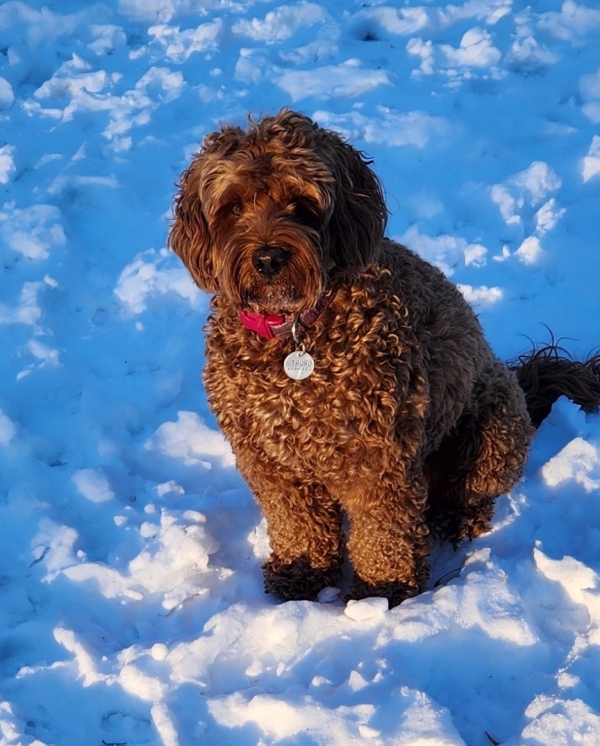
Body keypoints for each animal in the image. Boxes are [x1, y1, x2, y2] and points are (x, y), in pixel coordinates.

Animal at [169, 106, 600, 604]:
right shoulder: (270, 460)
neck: (295, 330)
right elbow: (297, 521)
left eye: (301, 202)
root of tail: (524, 390)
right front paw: (301, 571)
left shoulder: (377, 455)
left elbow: (384, 529)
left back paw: (455, 516)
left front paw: (382, 589)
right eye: (233, 206)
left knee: (471, 488)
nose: (268, 258)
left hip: (494, 428)